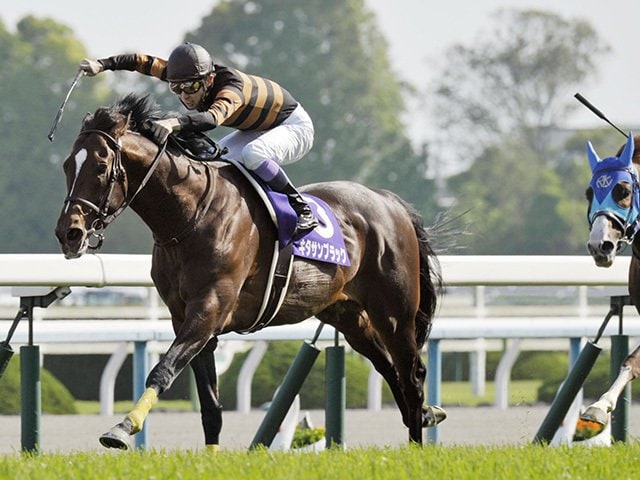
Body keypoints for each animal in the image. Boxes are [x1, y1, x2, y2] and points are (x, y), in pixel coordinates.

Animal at [54, 93, 446, 450]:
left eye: (100, 167)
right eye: (67, 166)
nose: (69, 232)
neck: (190, 216)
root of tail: (388, 201)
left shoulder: (210, 309)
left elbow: (163, 370)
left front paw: (122, 427)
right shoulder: (186, 319)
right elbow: (210, 407)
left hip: (394, 313)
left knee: (412, 375)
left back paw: (417, 445)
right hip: (350, 317)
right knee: (390, 370)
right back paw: (425, 419)